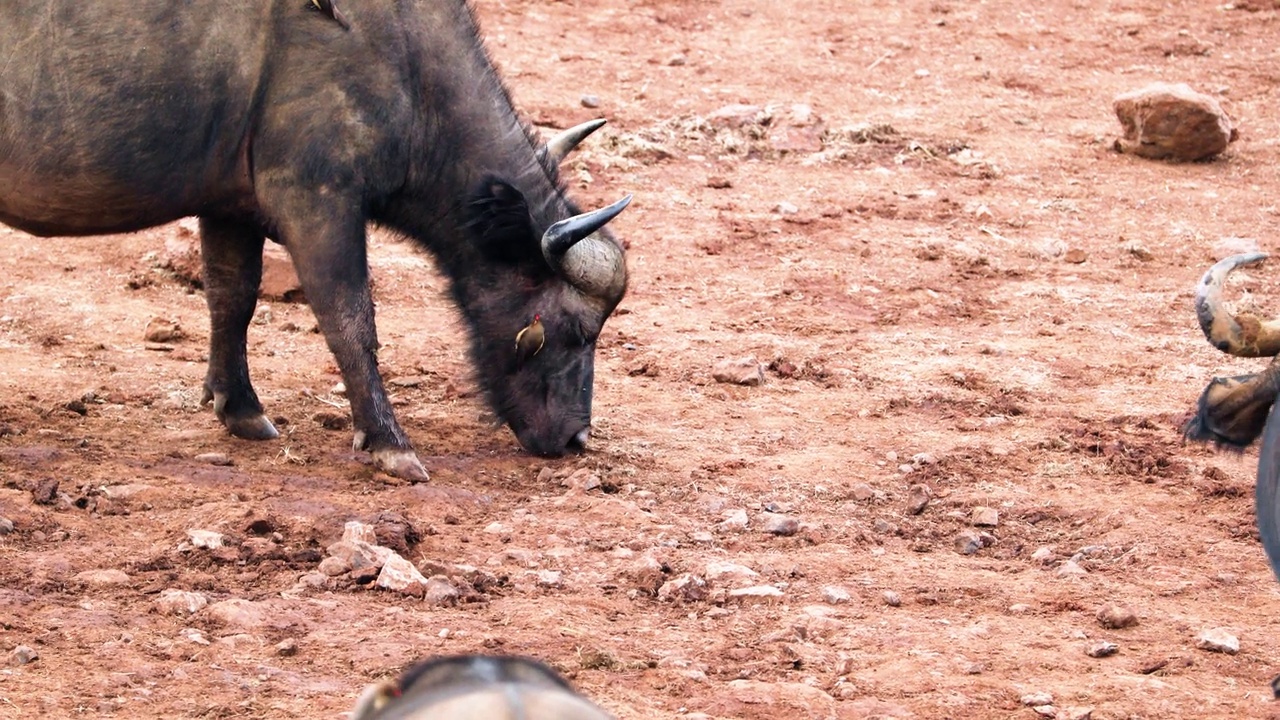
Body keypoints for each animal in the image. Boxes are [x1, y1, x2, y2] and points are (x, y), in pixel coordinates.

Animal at [0, 1, 629, 481]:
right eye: (576, 330)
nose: (575, 438)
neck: (403, 59)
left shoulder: (230, 207)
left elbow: (232, 298)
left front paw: (240, 407)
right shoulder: (318, 201)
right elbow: (349, 319)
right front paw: (389, 442)